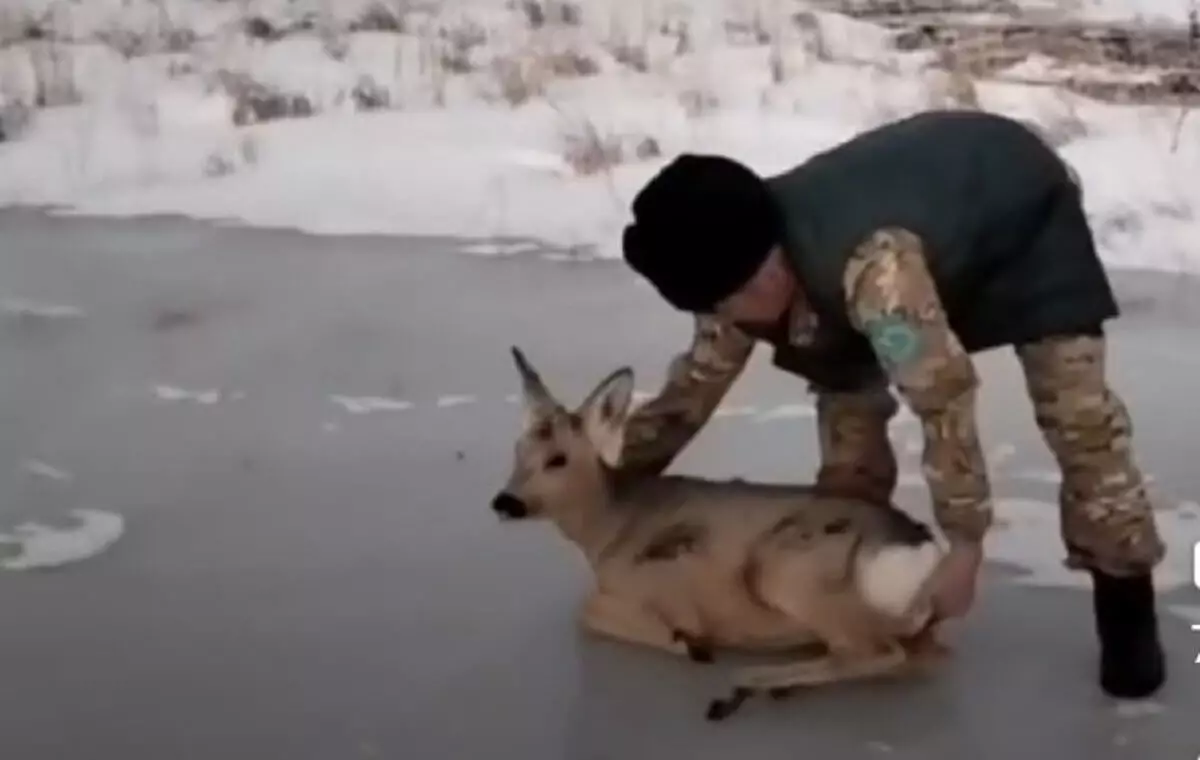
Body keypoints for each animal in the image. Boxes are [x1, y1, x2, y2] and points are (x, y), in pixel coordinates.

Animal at [492, 345, 950, 720]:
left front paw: (687, 643)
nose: (504, 502)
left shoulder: (667, 586)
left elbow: (587, 612)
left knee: (880, 652)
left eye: (558, 459)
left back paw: (748, 681)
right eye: (518, 449)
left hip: (786, 570)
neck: (611, 528)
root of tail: (921, 546)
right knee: (914, 656)